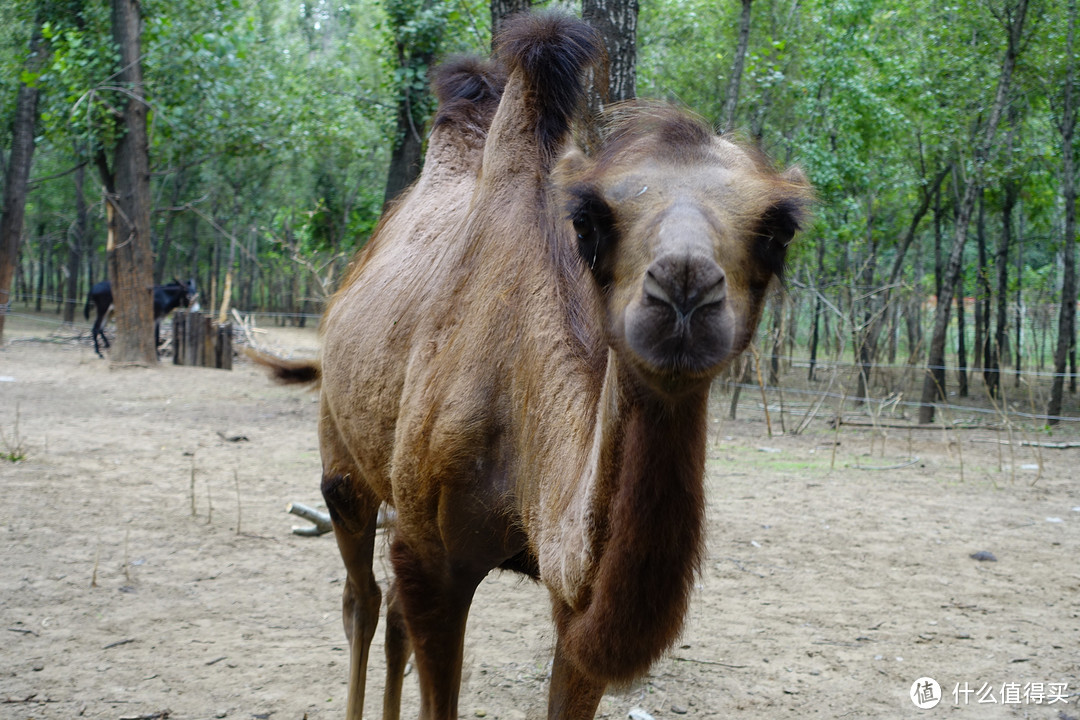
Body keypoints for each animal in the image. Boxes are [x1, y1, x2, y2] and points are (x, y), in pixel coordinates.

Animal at [254, 11, 812, 720]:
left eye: (781, 229)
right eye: (589, 221)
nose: (684, 290)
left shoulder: (570, 598)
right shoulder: (434, 561)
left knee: (392, 614)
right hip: (342, 457)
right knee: (363, 597)